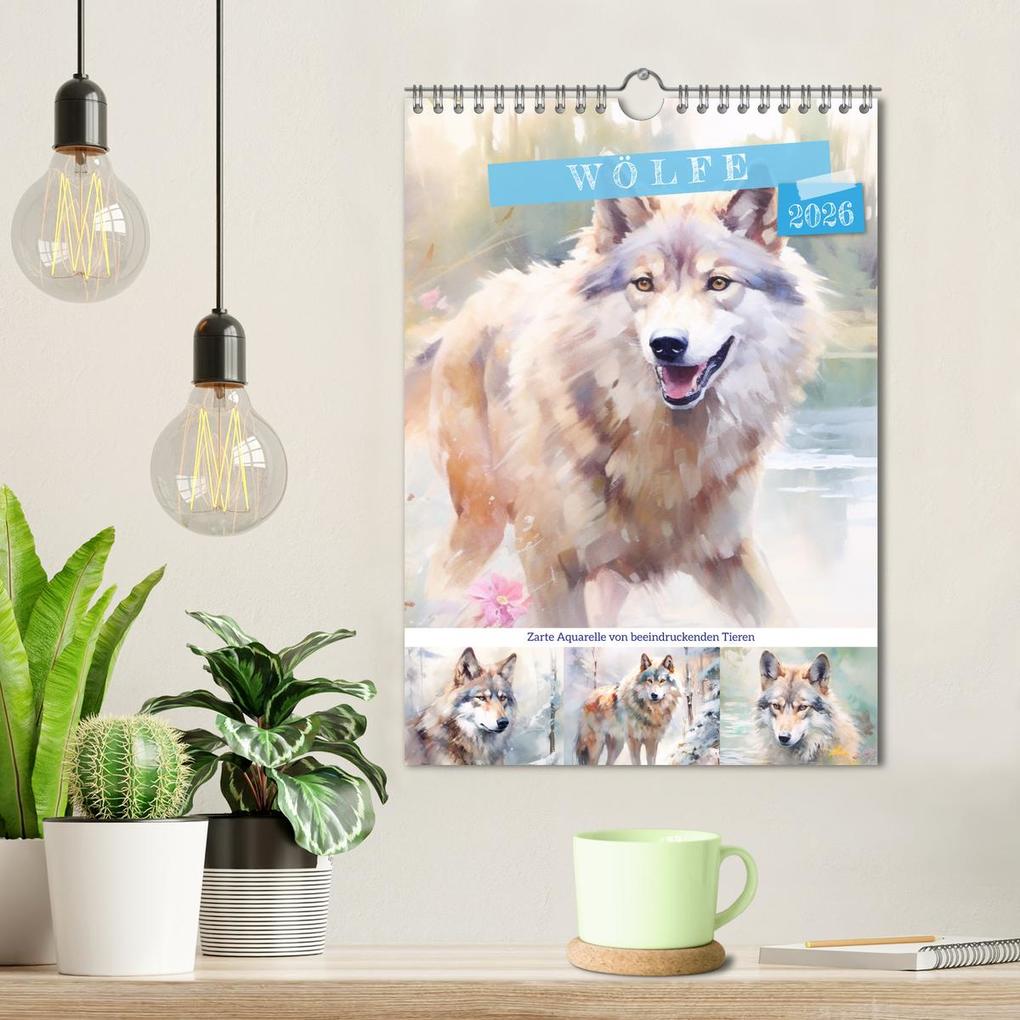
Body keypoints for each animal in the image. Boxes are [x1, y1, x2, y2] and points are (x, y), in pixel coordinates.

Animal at [411, 188, 826, 626]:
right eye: (644, 283)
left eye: (718, 283)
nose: (667, 344)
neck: (663, 451)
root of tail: (462, 315)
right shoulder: (549, 562)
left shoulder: (727, 551)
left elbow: (780, 619)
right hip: (482, 522)